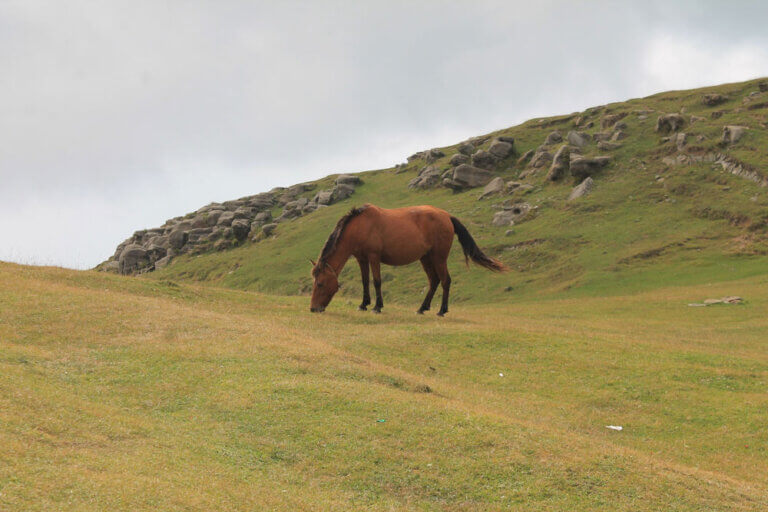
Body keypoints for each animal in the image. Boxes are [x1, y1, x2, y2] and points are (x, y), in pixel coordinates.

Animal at [308, 204, 508, 316]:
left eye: (320, 284)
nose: (313, 308)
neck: (361, 226)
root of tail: (446, 216)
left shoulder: (374, 257)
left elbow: (377, 281)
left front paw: (377, 307)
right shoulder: (361, 259)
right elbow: (365, 281)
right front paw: (363, 304)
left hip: (439, 257)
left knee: (445, 281)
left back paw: (441, 310)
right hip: (426, 258)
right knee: (434, 281)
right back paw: (422, 308)